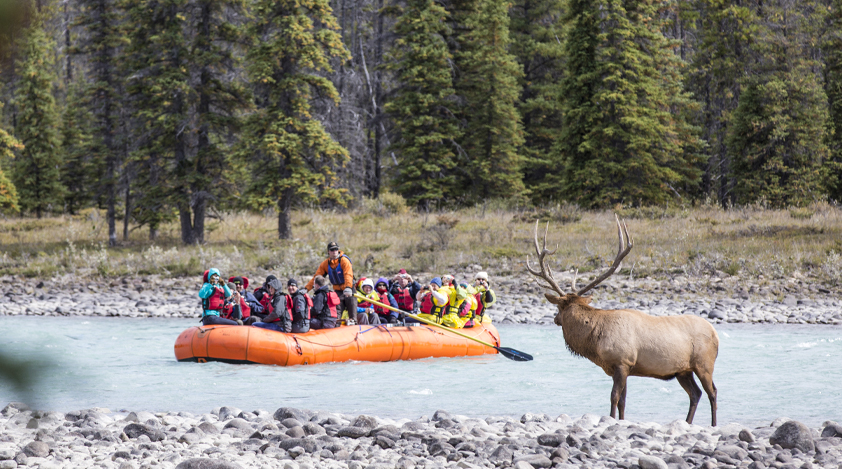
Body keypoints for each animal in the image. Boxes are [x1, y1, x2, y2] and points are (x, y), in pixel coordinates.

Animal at [527, 216, 719, 426]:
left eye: (559, 307)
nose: (555, 319)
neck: (595, 341)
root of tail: (716, 334)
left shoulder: (622, 362)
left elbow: (614, 397)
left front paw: (610, 419)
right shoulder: (623, 368)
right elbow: (623, 401)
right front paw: (621, 420)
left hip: (704, 363)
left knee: (712, 392)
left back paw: (713, 424)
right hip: (683, 370)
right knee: (695, 393)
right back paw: (688, 422)